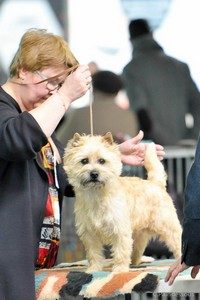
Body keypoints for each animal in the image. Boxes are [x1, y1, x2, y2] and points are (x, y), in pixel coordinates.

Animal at [63, 132, 182, 274]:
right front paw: (94, 269)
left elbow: (121, 251)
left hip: (168, 227)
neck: (96, 195)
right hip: (139, 236)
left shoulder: (120, 230)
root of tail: (155, 183)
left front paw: (119, 270)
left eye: (102, 161)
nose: (94, 174)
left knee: (178, 242)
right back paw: (136, 262)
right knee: (137, 251)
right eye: (84, 161)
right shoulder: (89, 234)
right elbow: (93, 254)